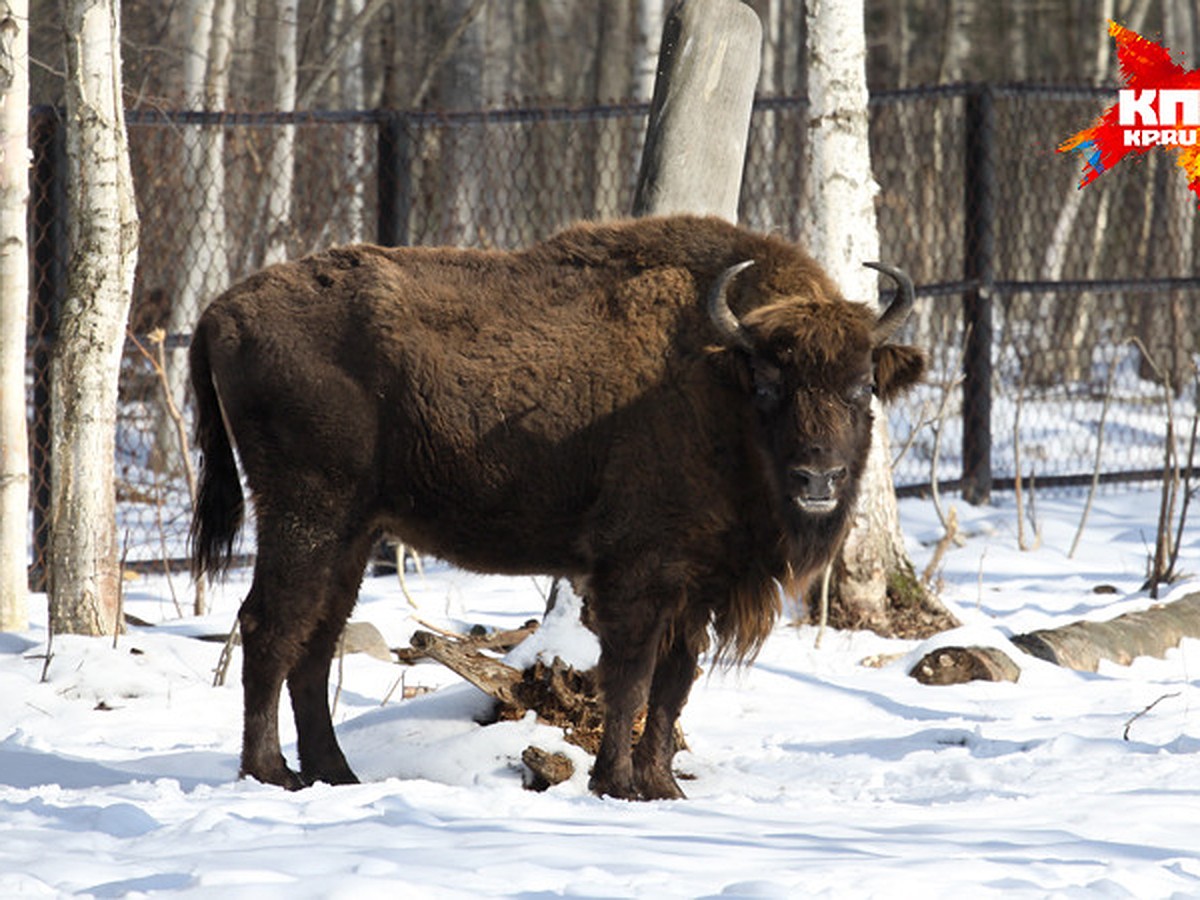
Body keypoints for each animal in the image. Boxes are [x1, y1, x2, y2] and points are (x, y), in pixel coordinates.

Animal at [187, 214, 921, 801]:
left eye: (861, 387)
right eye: (768, 385)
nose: (817, 477)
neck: (718, 378)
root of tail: (219, 310)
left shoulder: (696, 587)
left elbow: (672, 686)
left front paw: (663, 787)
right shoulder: (641, 574)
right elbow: (631, 679)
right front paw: (617, 784)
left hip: (353, 534)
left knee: (315, 640)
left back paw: (335, 774)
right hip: (306, 516)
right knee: (269, 627)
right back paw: (271, 774)